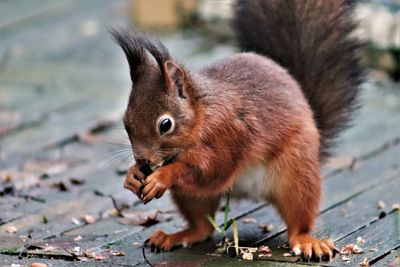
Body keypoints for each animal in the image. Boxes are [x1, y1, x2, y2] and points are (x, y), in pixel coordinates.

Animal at [111, 0, 364, 262]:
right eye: (126, 122)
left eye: (165, 125)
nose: (142, 159)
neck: (203, 112)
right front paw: (132, 175)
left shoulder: (228, 132)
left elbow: (210, 169)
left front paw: (162, 176)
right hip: (191, 198)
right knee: (203, 226)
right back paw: (176, 236)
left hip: (297, 174)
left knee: (298, 220)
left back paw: (307, 242)